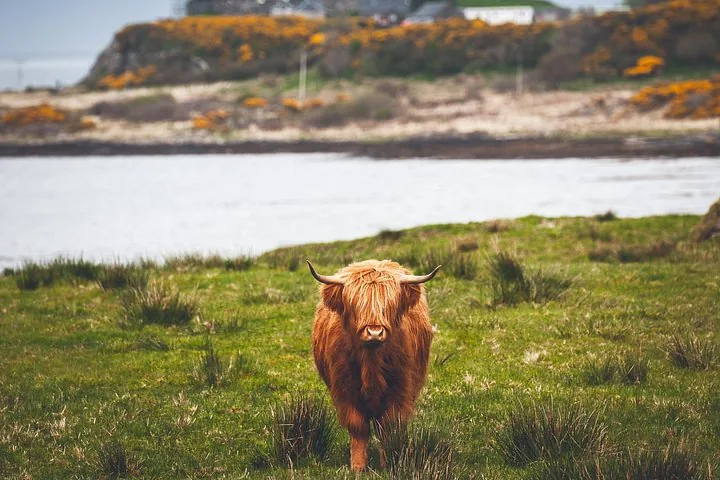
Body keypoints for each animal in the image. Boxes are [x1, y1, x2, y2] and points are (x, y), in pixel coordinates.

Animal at [307, 259, 441, 472]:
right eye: (355, 304)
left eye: (390, 304)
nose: (375, 332)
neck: (371, 363)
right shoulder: (345, 390)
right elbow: (358, 427)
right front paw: (358, 467)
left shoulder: (400, 390)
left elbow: (389, 426)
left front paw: (388, 462)